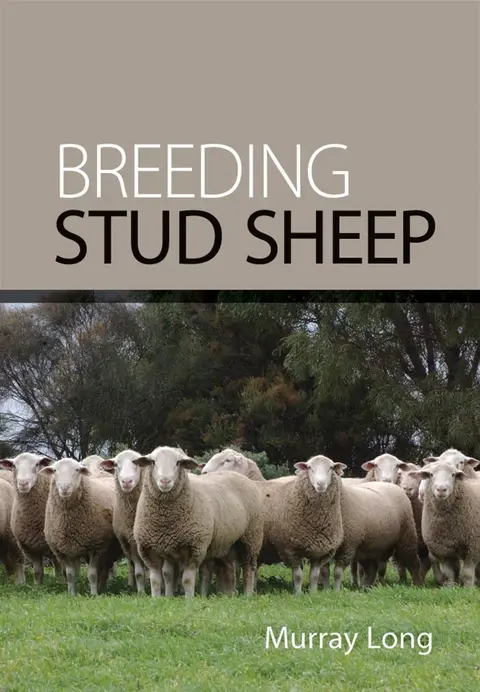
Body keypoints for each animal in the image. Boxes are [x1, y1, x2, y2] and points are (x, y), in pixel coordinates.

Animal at [0, 453, 64, 585]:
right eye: (14, 465)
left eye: (37, 464)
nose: (23, 483)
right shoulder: (30, 547)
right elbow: (38, 571)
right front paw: (38, 586)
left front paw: (61, 582)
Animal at [41, 458, 123, 596]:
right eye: (54, 470)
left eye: (77, 470)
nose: (64, 488)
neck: (69, 521)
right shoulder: (64, 550)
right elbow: (70, 575)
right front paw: (71, 594)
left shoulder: (97, 547)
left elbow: (92, 574)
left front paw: (94, 594)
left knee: (105, 569)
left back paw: (102, 587)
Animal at [132, 445, 264, 598]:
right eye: (153, 462)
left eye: (178, 463)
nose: (165, 481)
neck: (165, 520)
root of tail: (240, 476)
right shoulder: (149, 550)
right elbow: (158, 579)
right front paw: (159, 599)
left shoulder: (194, 548)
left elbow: (187, 580)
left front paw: (189, 599)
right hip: (226, 543)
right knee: (224, 570)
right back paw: (222, 595)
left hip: (251, 538)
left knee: (249, 568)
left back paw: (248, 595)